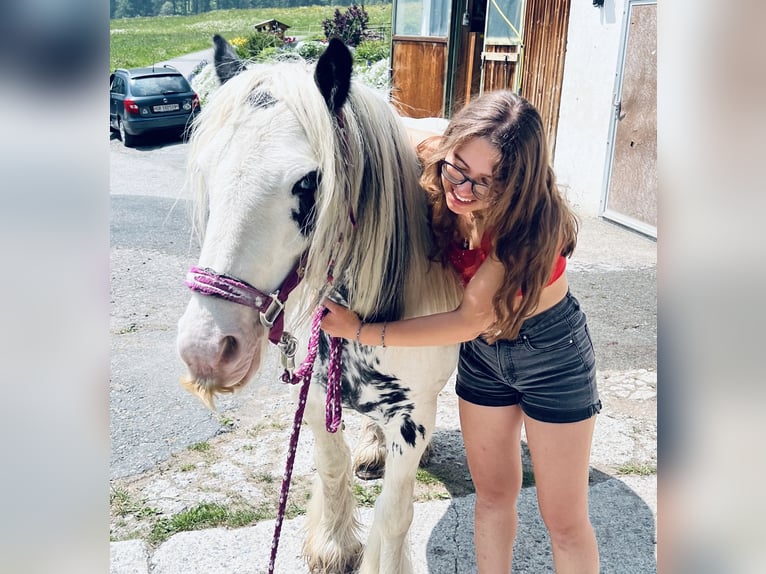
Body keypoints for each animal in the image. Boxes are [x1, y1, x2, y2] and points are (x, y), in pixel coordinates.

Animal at [176, 35, 462, 574]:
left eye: (309, 182)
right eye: (204, 172)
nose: (206, 348)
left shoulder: (412, 420)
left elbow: (394, 514)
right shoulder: (310, 394)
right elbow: (331, 465)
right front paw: (333, 544)